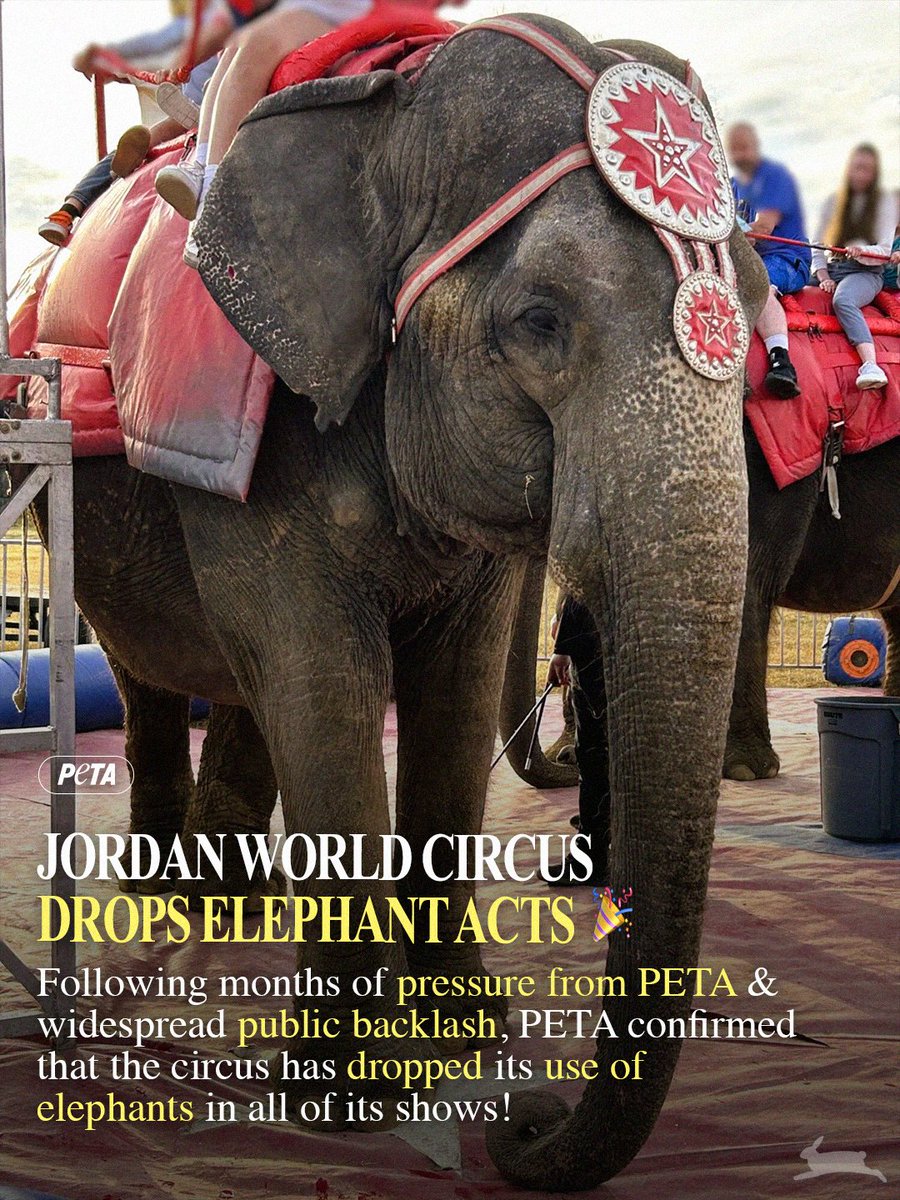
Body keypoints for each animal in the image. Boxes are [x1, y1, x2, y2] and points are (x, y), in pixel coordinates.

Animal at [21, 15, 768, 1189]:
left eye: (757, 307)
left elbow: (453, 696)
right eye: (540, 321)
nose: (526, 1124)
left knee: (235, 683)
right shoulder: (269, 430)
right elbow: (324, 679)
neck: (393, 108)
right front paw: (346, 1099)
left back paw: (228, 904)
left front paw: (466, 1043)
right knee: (152, 671)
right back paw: (167, 901)